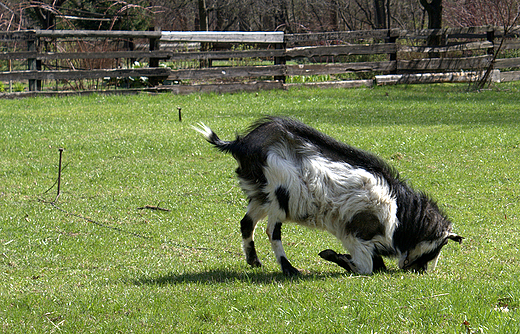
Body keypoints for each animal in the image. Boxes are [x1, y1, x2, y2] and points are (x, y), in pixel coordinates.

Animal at [195, 116, 464, 276]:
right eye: (435, 248)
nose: (422, 271)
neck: (400, 212)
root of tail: (240, 144)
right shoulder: (357, 233)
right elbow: (366, 267)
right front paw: (333, 256)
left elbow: (375, 263)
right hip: (281, 197)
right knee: (272, 231)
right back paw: (289, 269)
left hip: (260, 196)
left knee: (247, 223)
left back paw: (254, 261)